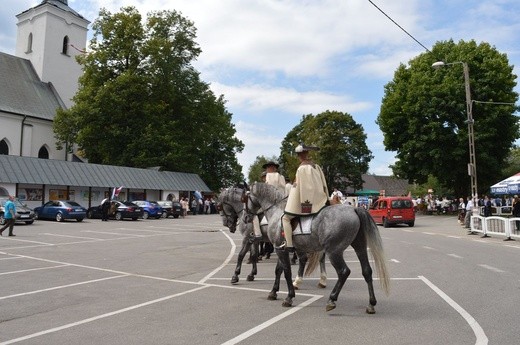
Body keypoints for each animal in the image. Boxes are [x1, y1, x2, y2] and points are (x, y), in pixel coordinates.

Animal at [245, 183, 390, 312]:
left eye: (245, 198)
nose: (246, 217)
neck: (276, 212)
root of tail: (354, 209)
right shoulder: (281, 248)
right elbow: (279, 270)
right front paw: (273, 292)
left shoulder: (279, 249)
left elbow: (286, 272)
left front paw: (289, 297)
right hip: (359, 247)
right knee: (367, 271)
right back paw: (371, 304)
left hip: (334, 252)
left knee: (343, 272)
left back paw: (332, 300)